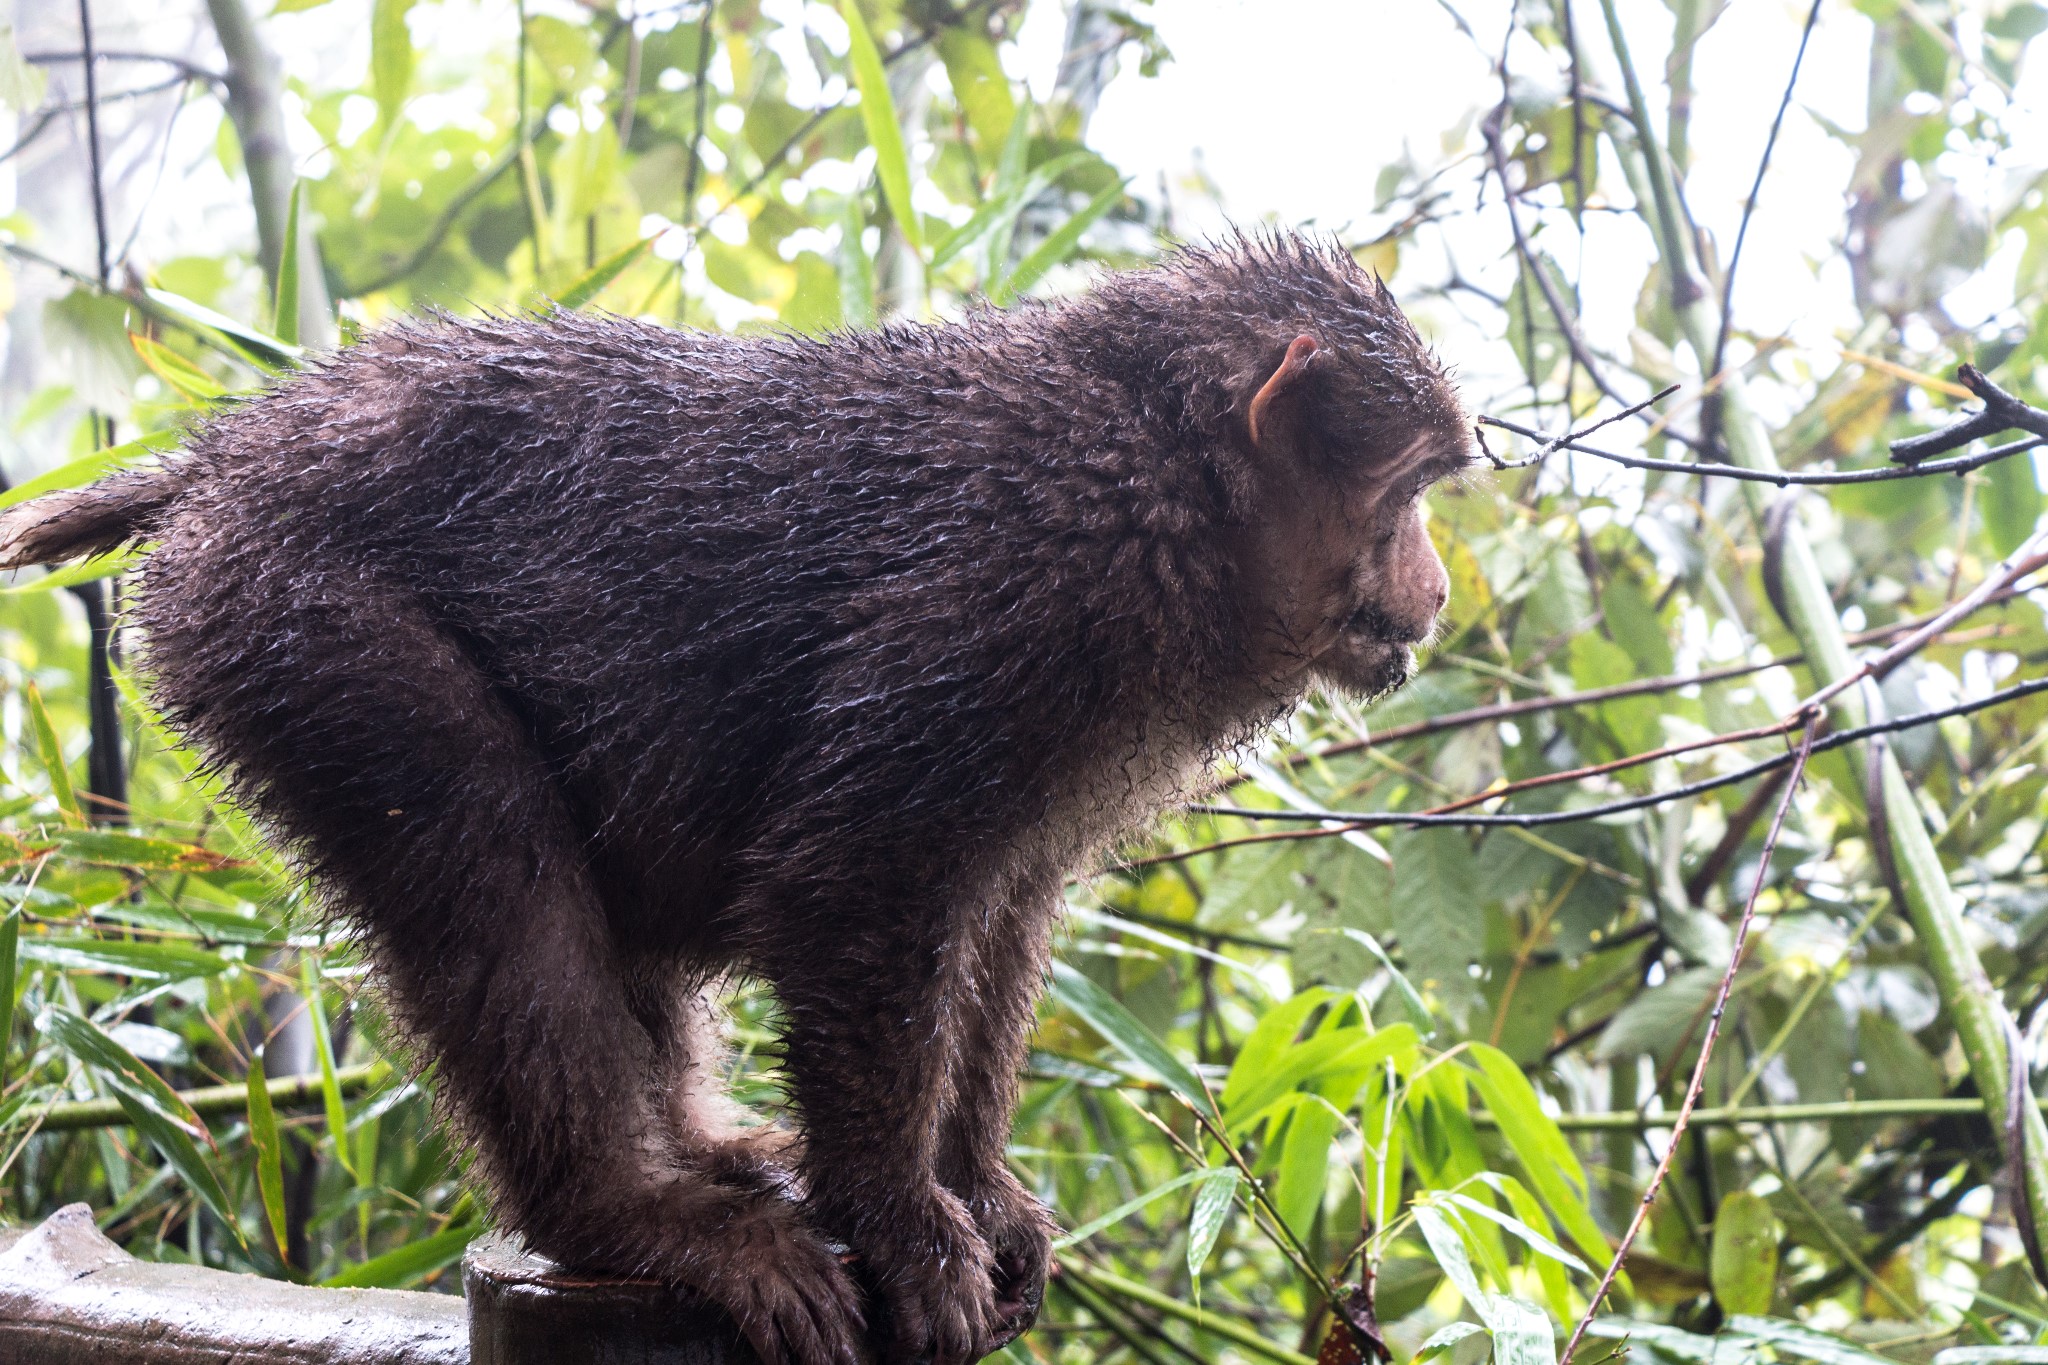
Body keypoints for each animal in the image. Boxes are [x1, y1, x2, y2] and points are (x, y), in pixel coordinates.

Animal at [0, 235, 1474, 1365]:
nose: (1441, 586)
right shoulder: (1015, 598)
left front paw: (977, 1190)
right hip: (294, 619)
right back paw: (627, 1213)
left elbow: (998, 910)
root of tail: (232, 455)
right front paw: (901, 1221)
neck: (1158, 482)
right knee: (486, 859)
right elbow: (855, 884)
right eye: (1406, 493)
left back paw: (701, 1156)